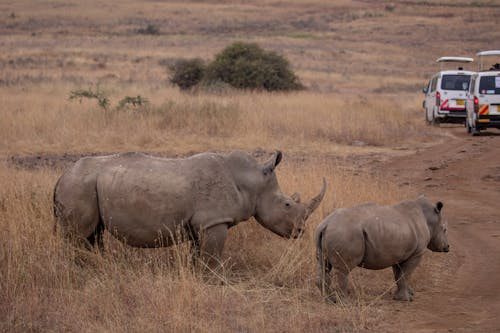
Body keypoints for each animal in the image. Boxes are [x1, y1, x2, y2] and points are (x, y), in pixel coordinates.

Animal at [54, 150, 326, 268]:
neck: (250, 181)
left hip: (87, 186)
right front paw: (213, 280)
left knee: (94, 235)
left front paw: (197, 275)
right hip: (79, 185)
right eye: (287, 204)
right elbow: (212, 258)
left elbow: (198, 256)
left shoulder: (201, 225)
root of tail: (61, 177)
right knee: (78, 236)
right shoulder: (214, 221)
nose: (301, 231)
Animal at [314, 195, 448, 300]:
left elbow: (399, 275)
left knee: (323, 265)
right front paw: (406, 299)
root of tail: (326, 223)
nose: (447, 247)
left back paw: (328, 299)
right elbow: (406, 274)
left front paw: (403, 296)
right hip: (346, 232)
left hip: (324, 233)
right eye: (444, 229)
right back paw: (344, 302)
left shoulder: (399, 253)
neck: (428, 218)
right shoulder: (417, 253)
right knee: (343, 269)